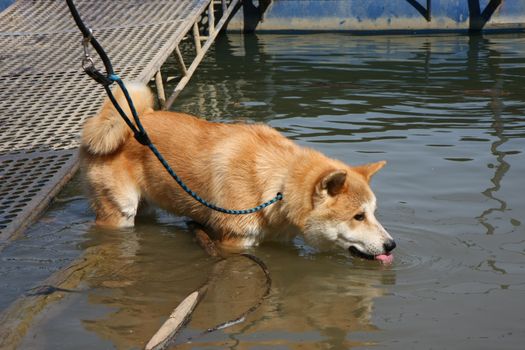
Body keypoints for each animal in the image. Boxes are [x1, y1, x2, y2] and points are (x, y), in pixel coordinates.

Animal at [81, 83, 392, 262]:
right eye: (358, 216)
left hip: (146, 206)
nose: (392, 245)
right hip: (120, 213)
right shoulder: (234, 243)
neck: (276, 188)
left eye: (374, 213)